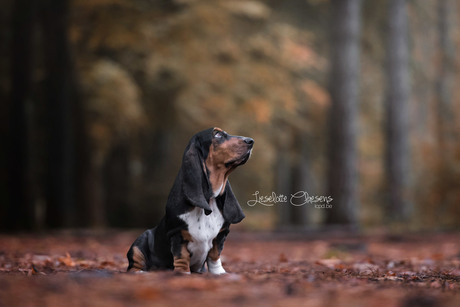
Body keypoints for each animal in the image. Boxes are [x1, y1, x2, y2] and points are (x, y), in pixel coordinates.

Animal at [127, 126, 253, 276]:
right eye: (217, 134)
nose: (251, 141)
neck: (209, 200)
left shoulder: (221, 234)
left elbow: (215, 255)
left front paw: (219, 273)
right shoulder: (177, 234)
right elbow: (182, 256)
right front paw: (183, 273)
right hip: (139, 242)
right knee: (133, 265)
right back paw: (141, 272)